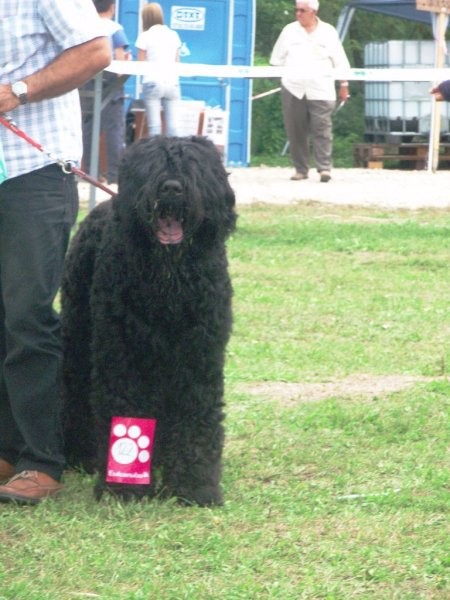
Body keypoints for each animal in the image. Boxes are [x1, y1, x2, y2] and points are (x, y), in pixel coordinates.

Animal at [62, 134, 237, 504]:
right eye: (151, 167)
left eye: (192, 166)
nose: (171, 188)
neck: (168, 282)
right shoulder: (124, 356)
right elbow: (125, 406)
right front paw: (122, 487)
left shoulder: (199, 359)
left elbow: (197, 419)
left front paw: (195, 486)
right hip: (79, 339)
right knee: (75, 394)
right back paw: (80, 454)